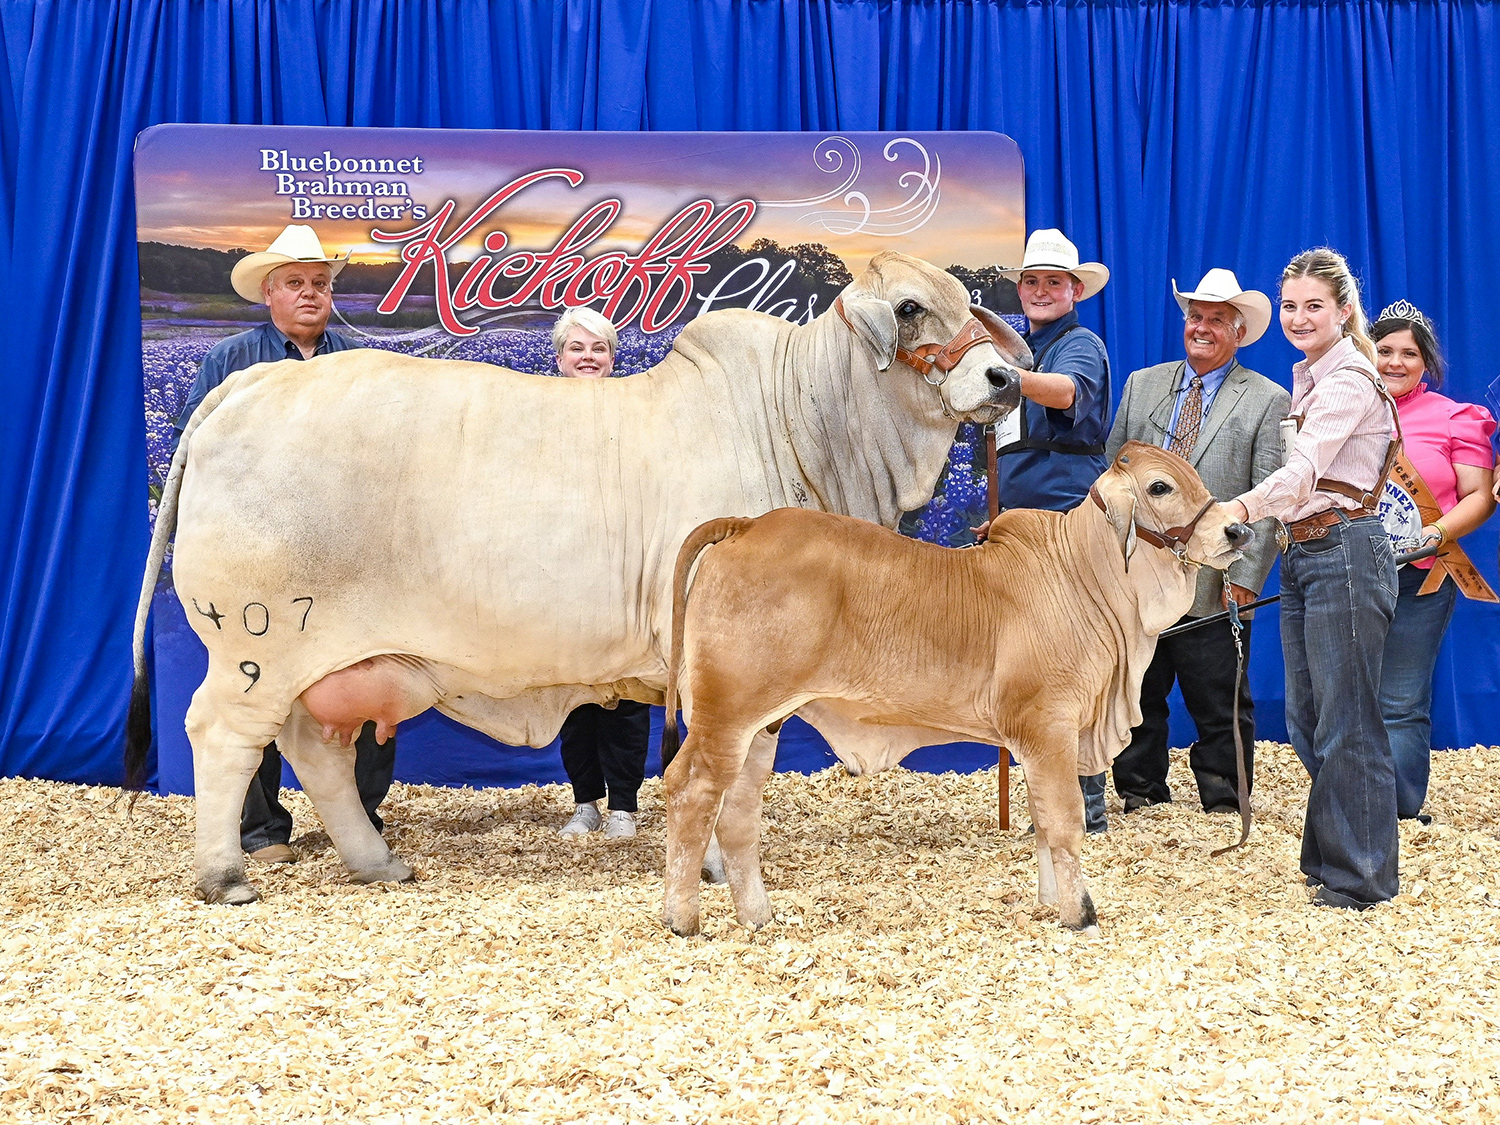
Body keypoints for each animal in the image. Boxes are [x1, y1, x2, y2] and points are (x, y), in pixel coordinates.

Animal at [663, 444, 1248, 936]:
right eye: (1159, 487)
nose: (1237, 531)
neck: (1082, 576)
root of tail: (746, 524)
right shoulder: (1049, 727)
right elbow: (1064, 824)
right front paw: (1081, 914)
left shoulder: (1036, 742)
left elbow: (1041, 821)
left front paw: (1050, 901)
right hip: (725, 717)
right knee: (691, 791)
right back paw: (683, 920)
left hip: (762, 726)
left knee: (736, 814)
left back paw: (757, 915)